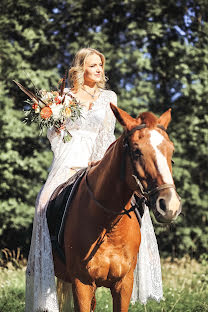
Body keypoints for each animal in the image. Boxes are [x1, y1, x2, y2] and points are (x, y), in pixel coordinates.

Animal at [53, 105, 180, 312]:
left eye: (171, 150)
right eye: (136, 151)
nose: (170, 205)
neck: (108, 225)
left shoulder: (124, 284)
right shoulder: (81, 284)